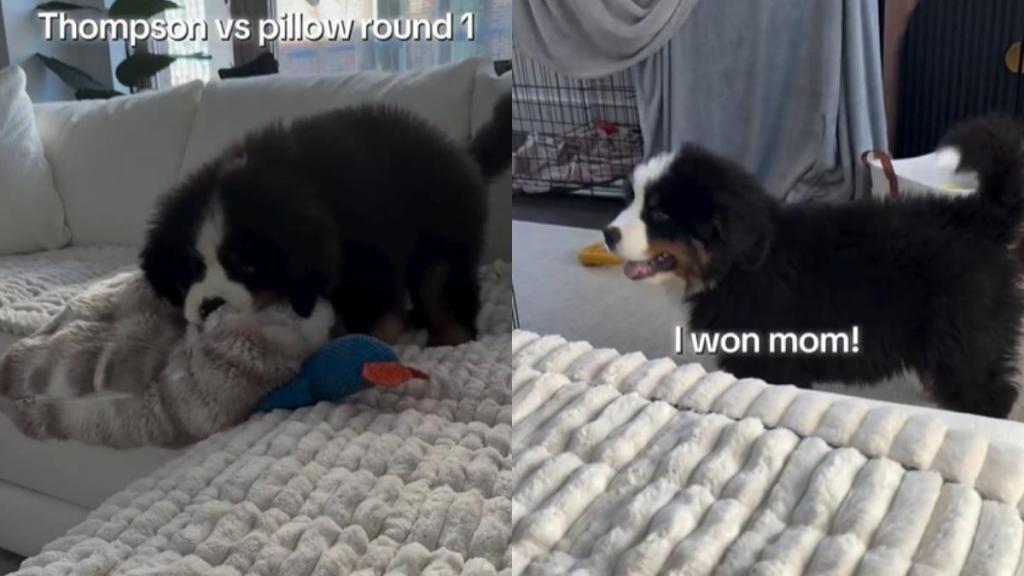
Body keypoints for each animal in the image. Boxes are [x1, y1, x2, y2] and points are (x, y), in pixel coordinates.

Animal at [141, 95, 511, 347]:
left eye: (247, 265)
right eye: (192, 268)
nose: (210, 306)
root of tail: (461, 152)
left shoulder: (369, 255)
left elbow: (375, 313)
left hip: (443, 238)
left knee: (441, 288)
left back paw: (450, 335)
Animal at [604, 116, 1024, 418]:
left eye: (659, 212)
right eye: (631, 199)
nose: (608, 234)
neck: (737, 267)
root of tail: (974, 215)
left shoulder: (767, 358)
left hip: (965, 337)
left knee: (989, 393)